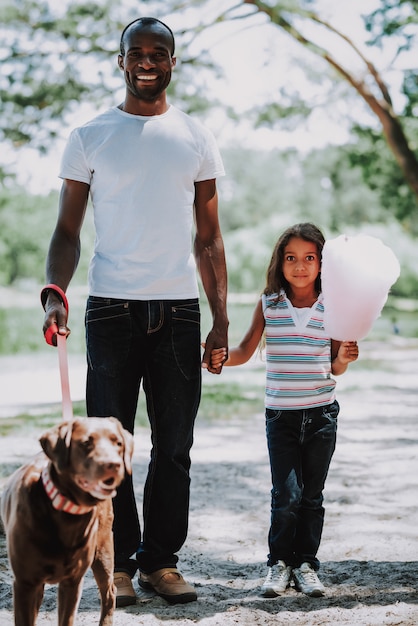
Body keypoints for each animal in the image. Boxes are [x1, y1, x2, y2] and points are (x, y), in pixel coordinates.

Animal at [0, 416, 134, 624]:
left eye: (118, 443)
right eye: (86, 443)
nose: (113, 464)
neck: (66, 514)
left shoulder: (72, 583)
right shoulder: (25, 584)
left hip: (103, 551)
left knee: (110, 592)